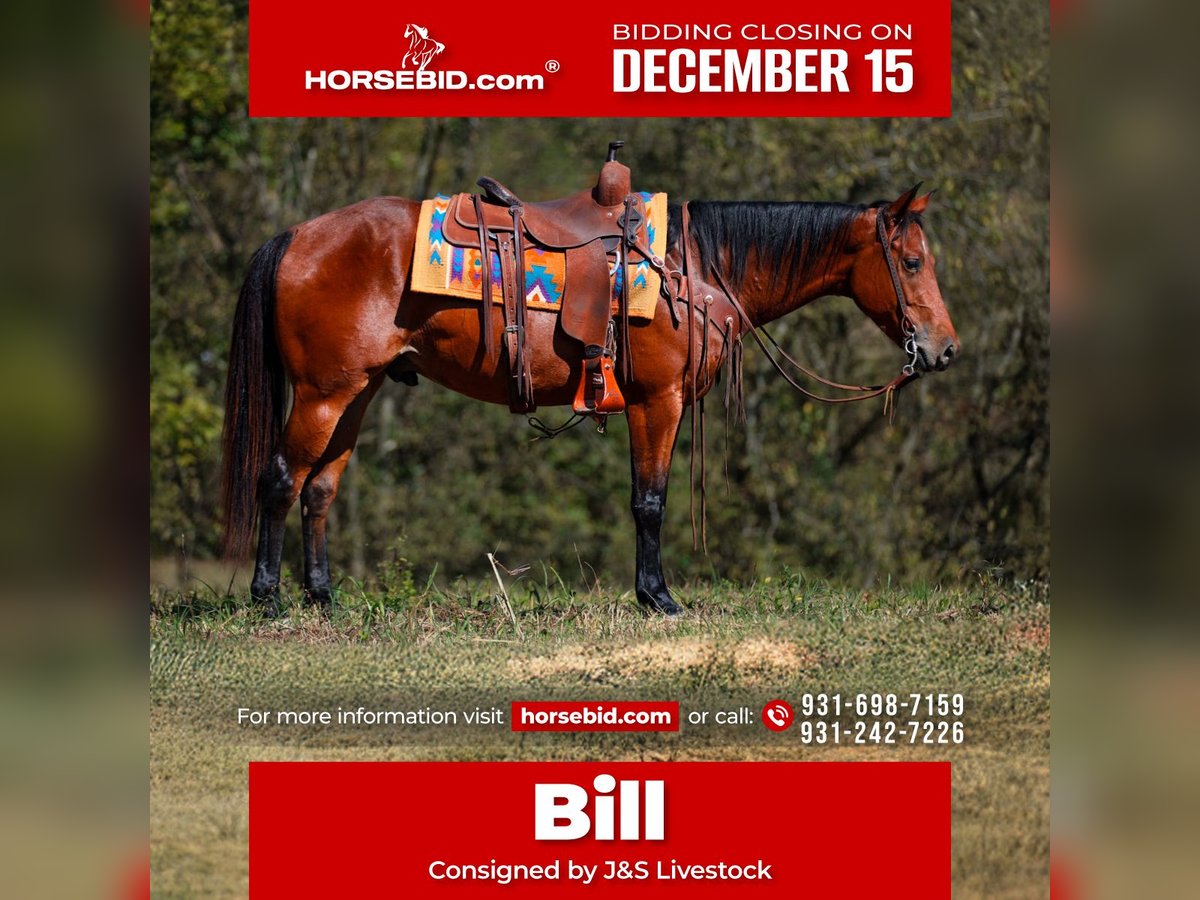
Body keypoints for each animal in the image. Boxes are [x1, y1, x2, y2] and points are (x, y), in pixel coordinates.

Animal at [220, 184, 960, 617]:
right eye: (913, 262)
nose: (945, 350)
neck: (691, 268)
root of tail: (296, 236)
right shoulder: (657, 402)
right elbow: (649, 502)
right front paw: (658, 598)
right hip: (323, 395)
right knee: (280, 481)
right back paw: (268, 599)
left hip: (356, 393)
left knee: (320, 489)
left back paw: (322, 597)